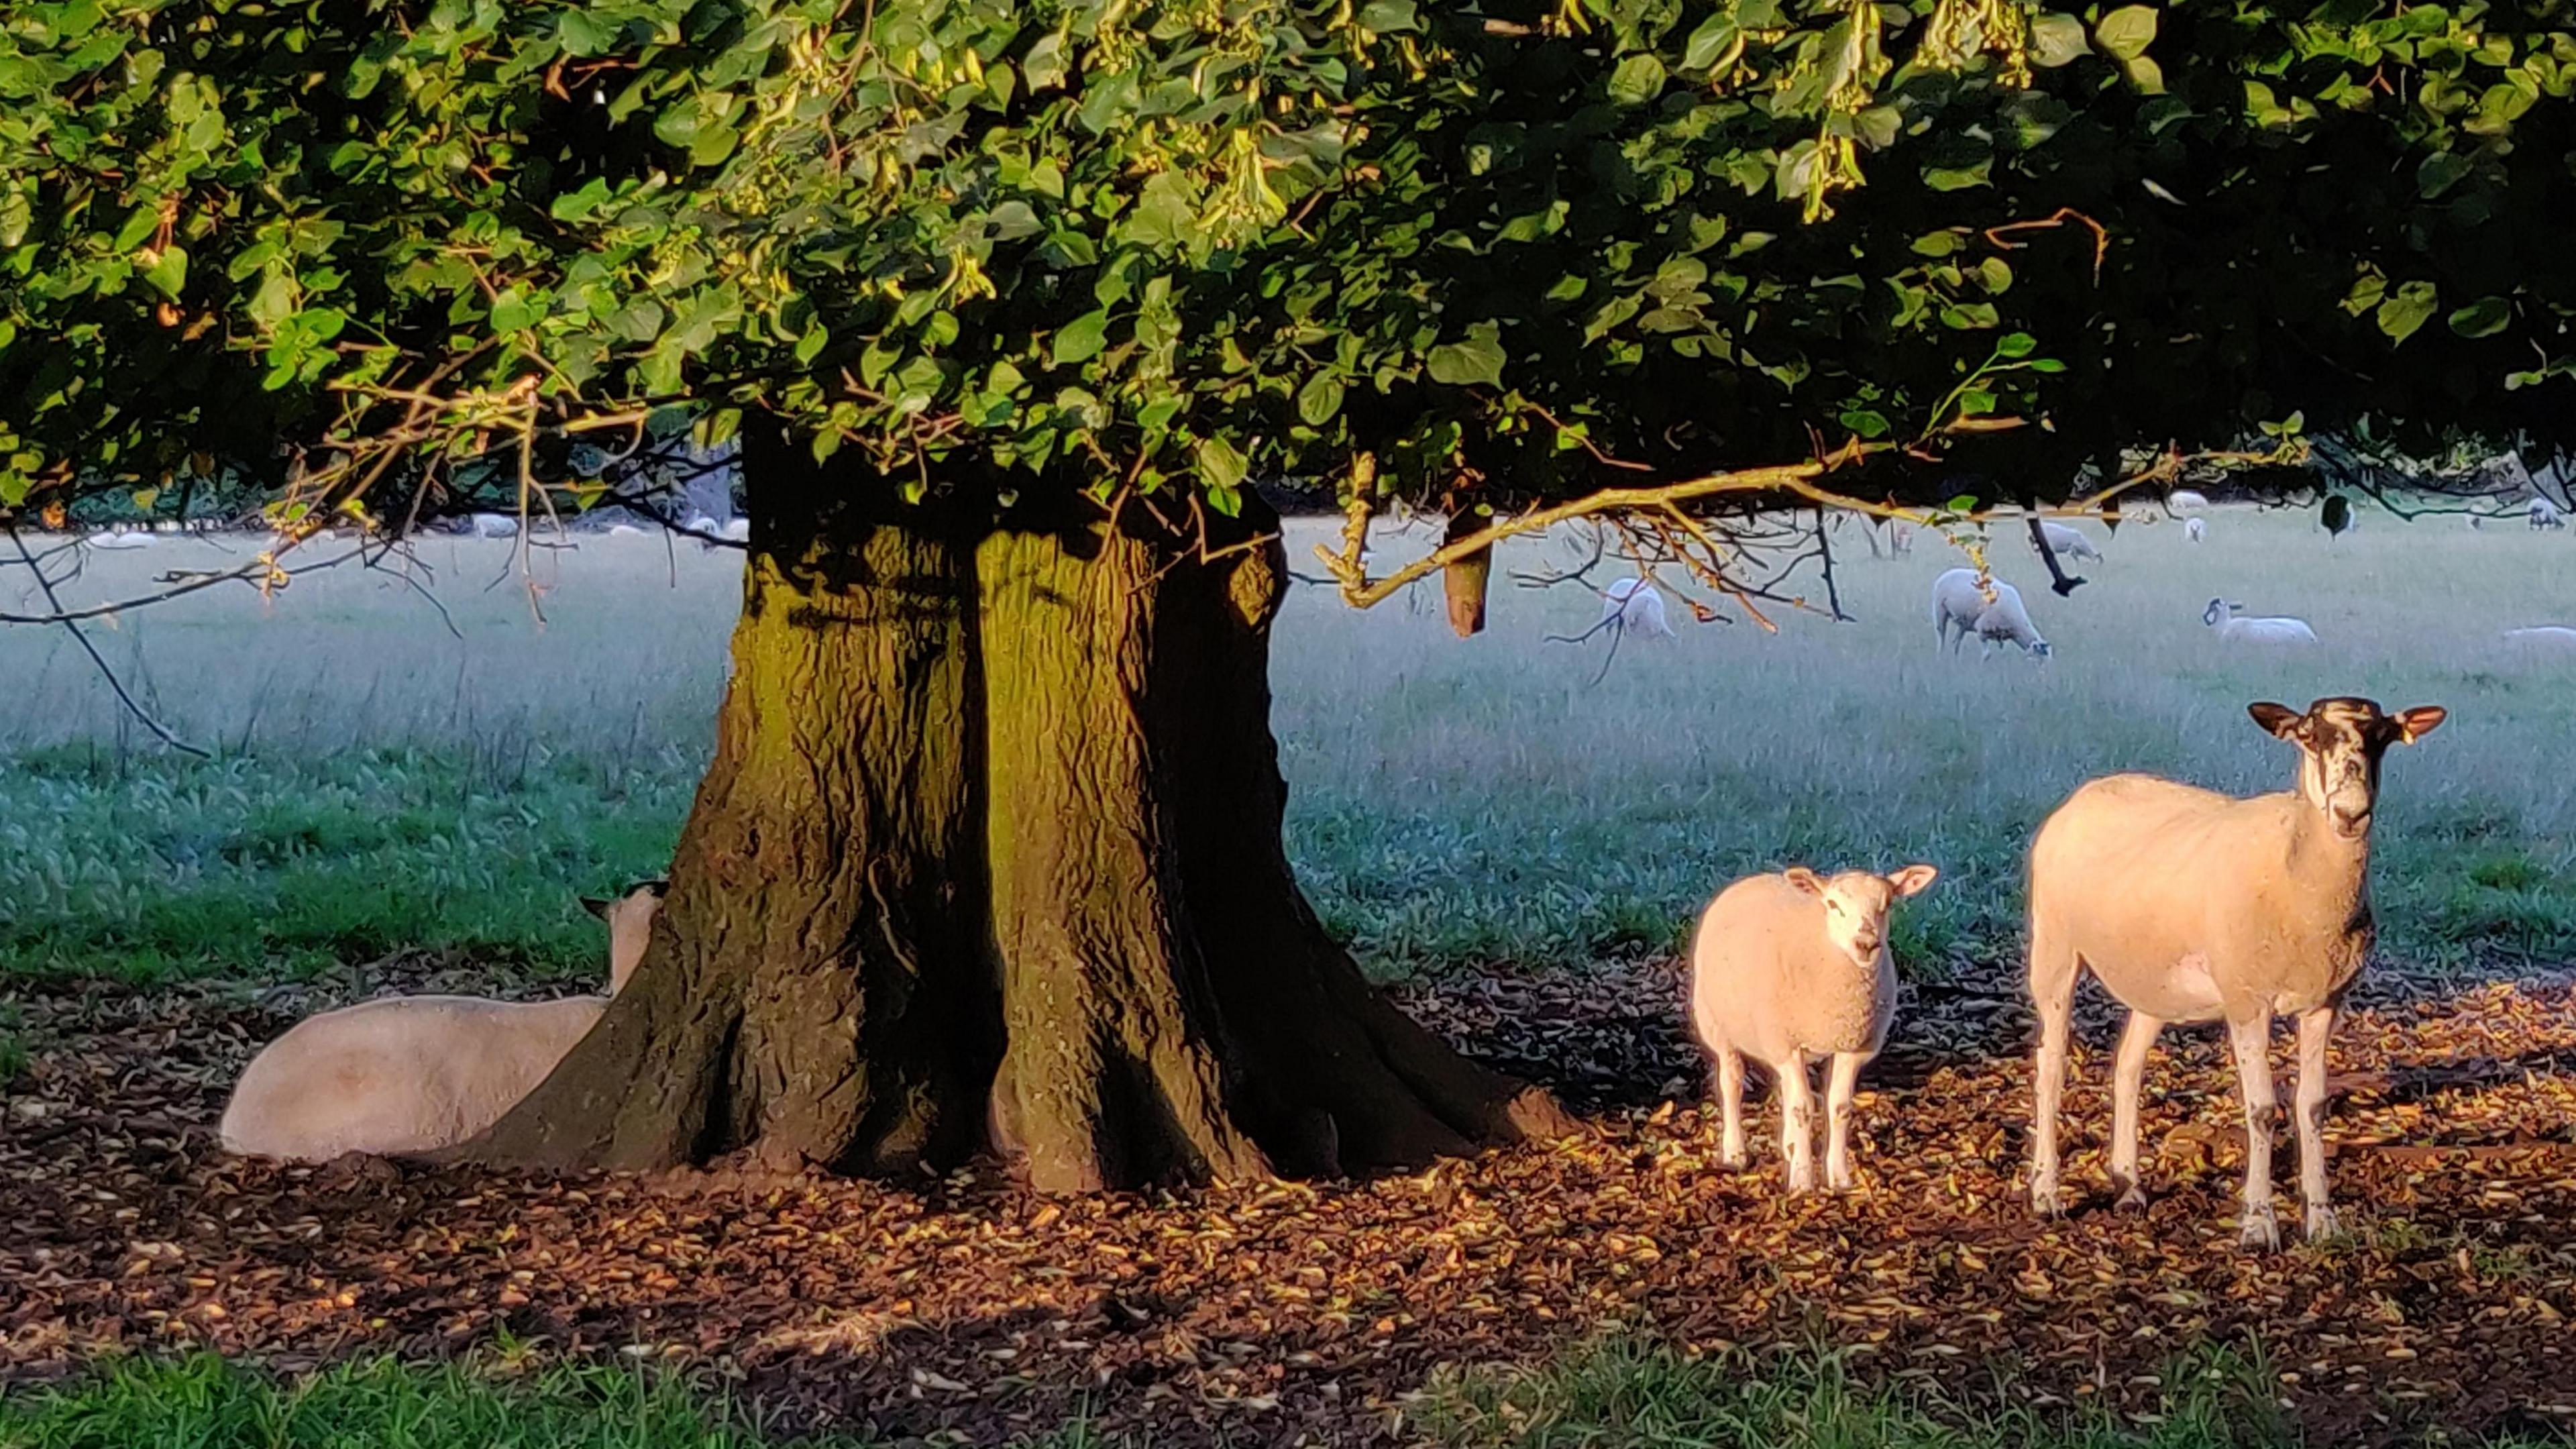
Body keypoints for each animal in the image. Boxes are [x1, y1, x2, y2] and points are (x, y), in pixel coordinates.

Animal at [1690, 861, 1937, 1191]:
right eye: (1833, 905)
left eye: (1887, 905)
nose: (1866, 944)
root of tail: (1753, 878)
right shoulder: (1786, 1043)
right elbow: (1803, 1109)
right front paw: (1802, 1181)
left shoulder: (1853, 1046)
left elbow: (1839, 1107)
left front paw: (1839, 1177)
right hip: (1717, 1023)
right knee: (1732, 1082)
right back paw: (1735, 1152)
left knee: (1785, 1090)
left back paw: (1789, 1146)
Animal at [1937, 567, 2050, 657]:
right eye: (2039, 656)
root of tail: (1948, 573)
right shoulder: (1981, 630)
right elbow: (1987, 655)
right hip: (1939, 609)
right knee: (1942, 637)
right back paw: (1940, 657)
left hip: (1964, 623)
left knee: (1956, 642)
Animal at [2019, 696, 2442, 1242]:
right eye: (2308, 736)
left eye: (2384, 738)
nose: (2351, 814)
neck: (2296, 861)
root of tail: (2087, 792)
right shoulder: (2247, 1000)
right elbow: (2262, 1111)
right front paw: (2260, 1224)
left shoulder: (2326, 1002)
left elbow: (2312, 1106)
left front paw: (2323, 1219)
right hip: (2054, 948)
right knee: (2050, 1067)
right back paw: (2046, 1193)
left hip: (2154, 978)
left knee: (2128, 1067)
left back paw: (2128, 1185)